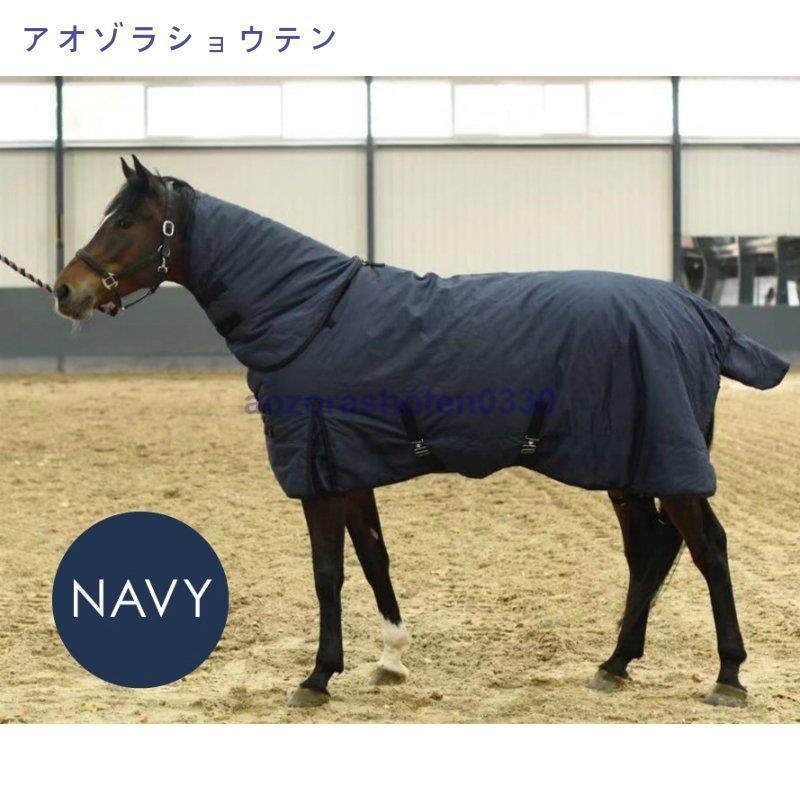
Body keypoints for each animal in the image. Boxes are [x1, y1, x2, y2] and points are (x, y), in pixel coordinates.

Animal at [53, 155, 789, 710]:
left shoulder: (319, 475)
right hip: (628, 465)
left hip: (664, 464)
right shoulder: (348, 466)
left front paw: (317, 677)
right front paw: (390, 660)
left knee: (708, 550)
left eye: (126, 220)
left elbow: (327, 573)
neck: (310, 313)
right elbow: (374, 559)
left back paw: (727, 676)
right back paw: (613, 664)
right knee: (651, 550)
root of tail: (699, 313)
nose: (66, 290)